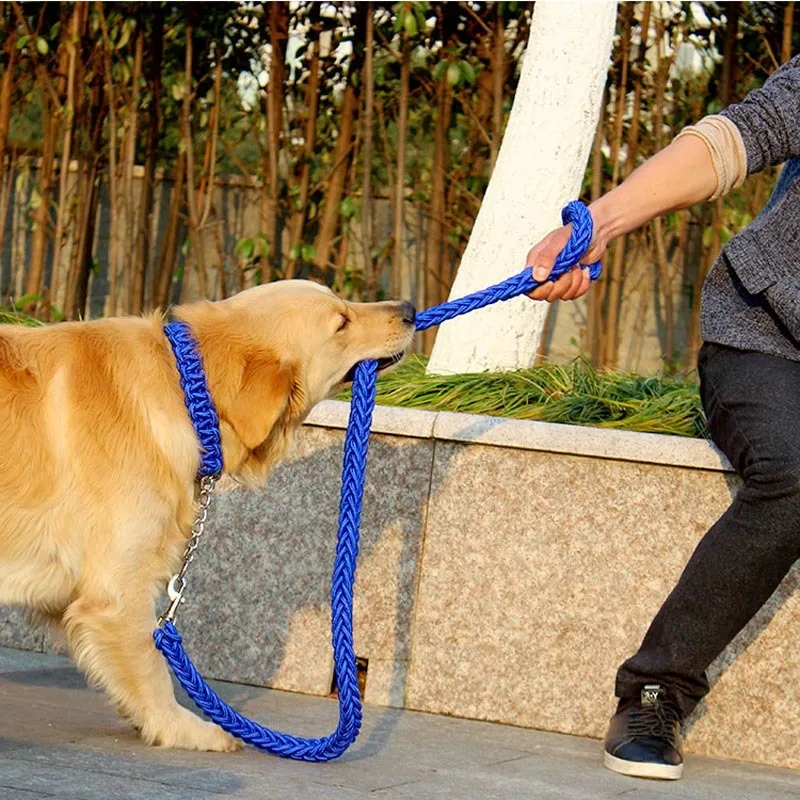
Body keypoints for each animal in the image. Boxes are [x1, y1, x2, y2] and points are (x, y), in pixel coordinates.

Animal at [0, 280, 416, 752]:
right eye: (341, 322)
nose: (410, 309)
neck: (182, 386)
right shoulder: (118, 591)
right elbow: (152, 667)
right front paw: (183, 728)